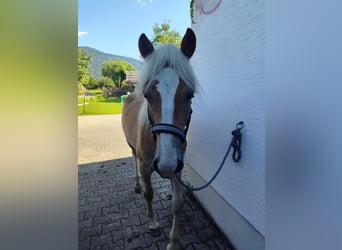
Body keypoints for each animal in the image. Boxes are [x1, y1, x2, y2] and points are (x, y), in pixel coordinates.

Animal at [122, 28, 198, 249]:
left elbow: (178, 203)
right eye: (148, 95)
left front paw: (173, 242)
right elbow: (149, 194)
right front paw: (153, 223)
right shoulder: (147, 166)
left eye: (190, 95)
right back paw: (137, 184)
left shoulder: (177, 167)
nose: (166, 163)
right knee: (133, 162)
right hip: (132, 149)